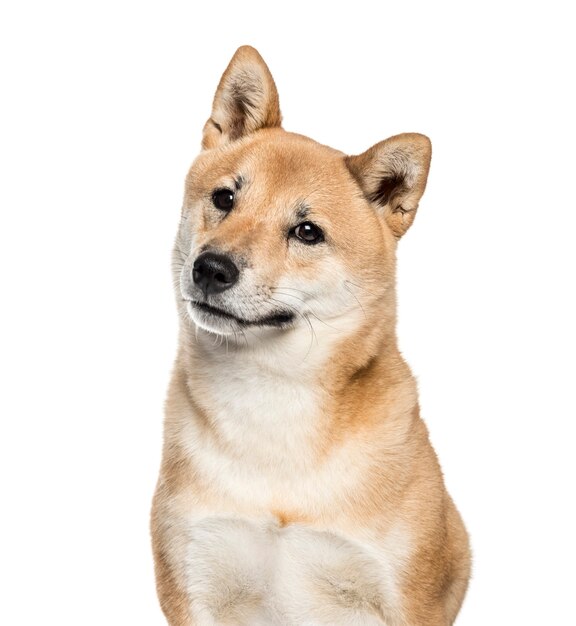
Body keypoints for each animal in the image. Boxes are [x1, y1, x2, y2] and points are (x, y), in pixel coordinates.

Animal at [151, 46, 470, 620]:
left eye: (306, 232)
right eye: (224, 198)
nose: (210, 268)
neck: (273, 404)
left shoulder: (407, 597)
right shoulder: (193, 579)